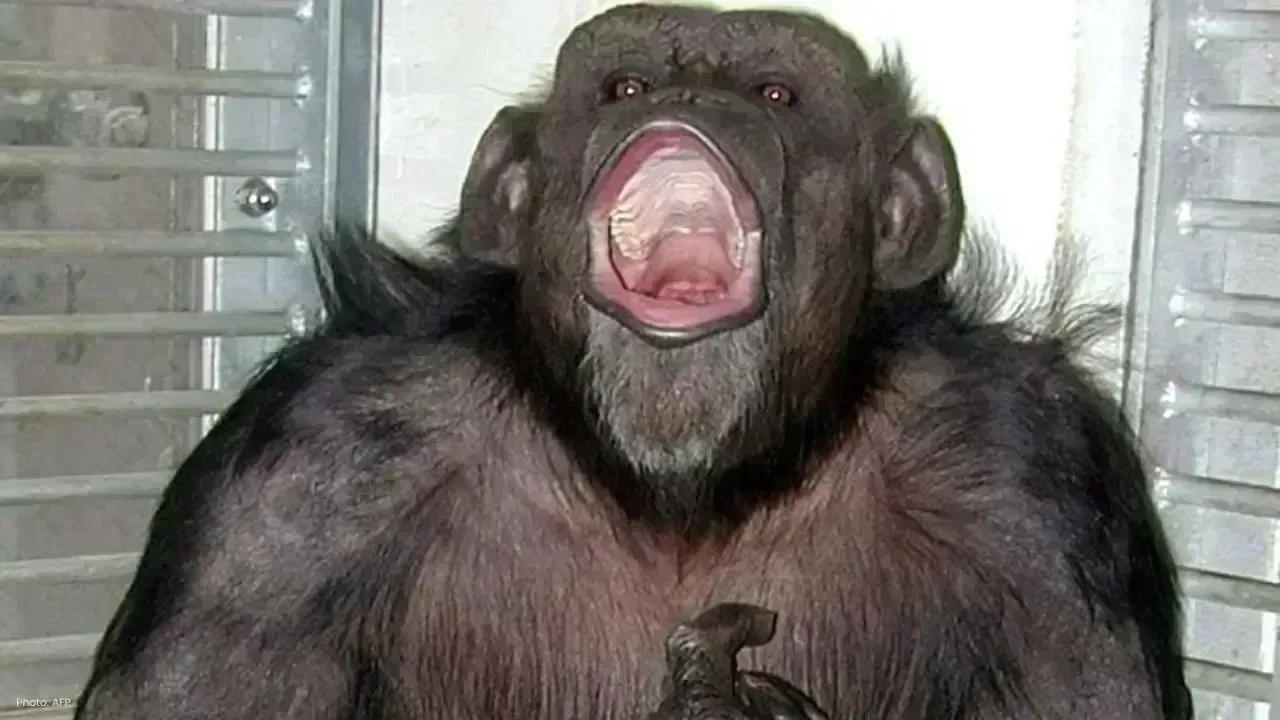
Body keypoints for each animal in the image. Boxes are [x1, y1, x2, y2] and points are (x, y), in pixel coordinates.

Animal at [73, 3, 1193, 719]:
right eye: (624, 83)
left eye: (775, 92)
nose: (691, 86)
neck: (679, 496)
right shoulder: (290, 492)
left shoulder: (1034, 493)